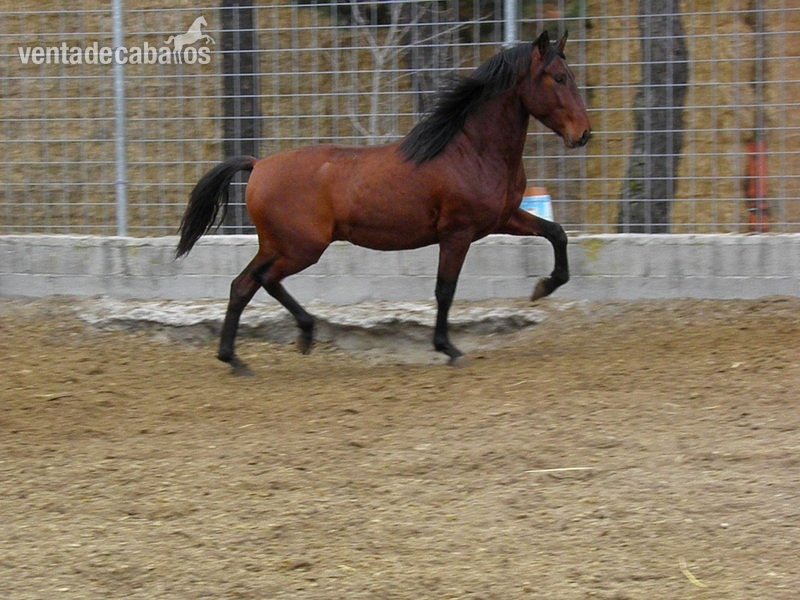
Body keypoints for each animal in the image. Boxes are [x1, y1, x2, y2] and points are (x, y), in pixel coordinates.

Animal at [176, 30, 590, 372]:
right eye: (559, 78)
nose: (584, 134)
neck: (471, 150)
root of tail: (259, 165)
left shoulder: (503, 218)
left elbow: (557, 233)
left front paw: (544, 287)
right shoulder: (458, 232)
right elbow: (445, 290)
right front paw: (447, 348)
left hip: (278, 245)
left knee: (244, 284)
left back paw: (237, 357)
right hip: (301, 247)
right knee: (261, 280)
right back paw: (299, 336)